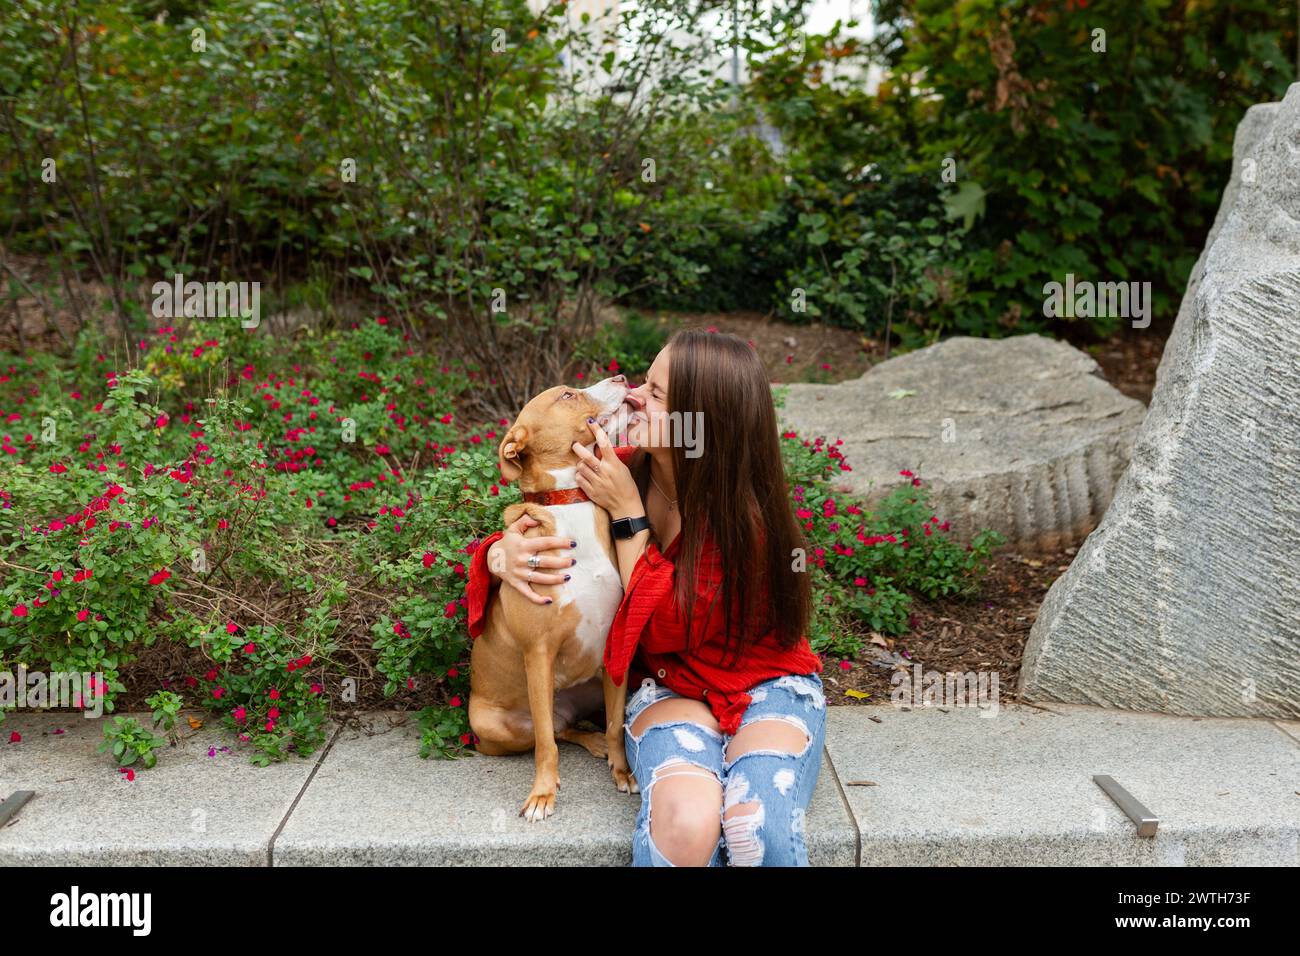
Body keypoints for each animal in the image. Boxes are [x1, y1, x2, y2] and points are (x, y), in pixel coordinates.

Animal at [470, 374, 642, 822]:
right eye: (566, 395)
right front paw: (543, 794)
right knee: (551, 731)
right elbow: (546, 744)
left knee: (569, 726)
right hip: (490, 723)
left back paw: (595, 741)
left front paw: (623, 771)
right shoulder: (539, 653)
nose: (621, 376)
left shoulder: (615, 647)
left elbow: (615, 724)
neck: (571, 504)